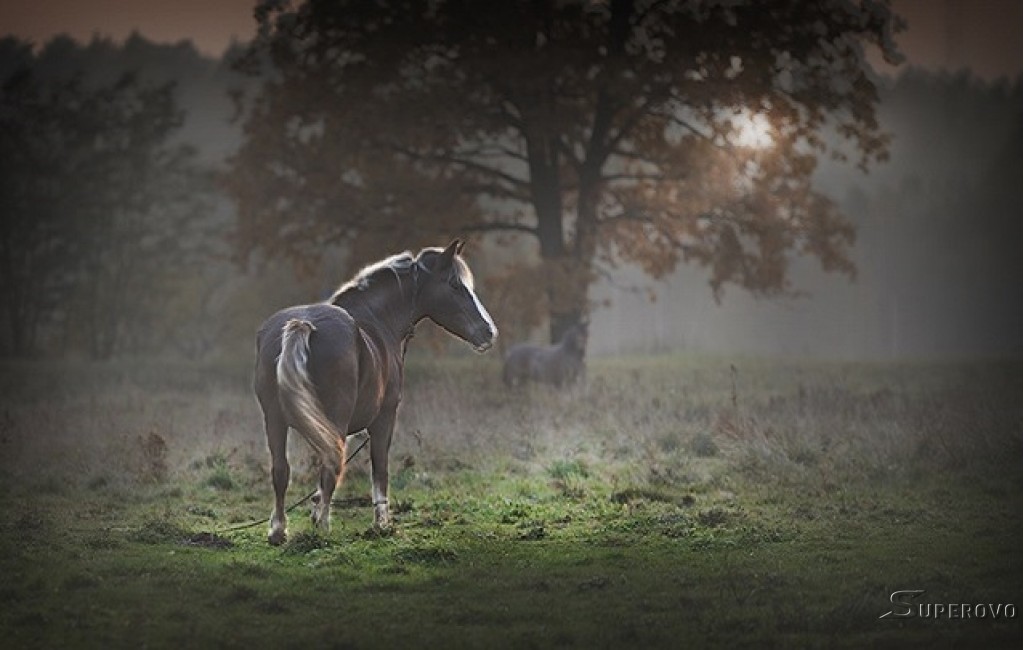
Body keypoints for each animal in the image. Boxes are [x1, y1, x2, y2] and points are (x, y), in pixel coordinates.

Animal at [253, 239, 497, 544]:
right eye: (454, 284)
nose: (488, 332)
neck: (376, 320)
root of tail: (302, 326)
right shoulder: (384, 419)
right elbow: (380, 468)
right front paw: (382, 523)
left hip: (274, 420)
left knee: (281, 470)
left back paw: (279, 530)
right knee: (331, 463)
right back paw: (322, 526)